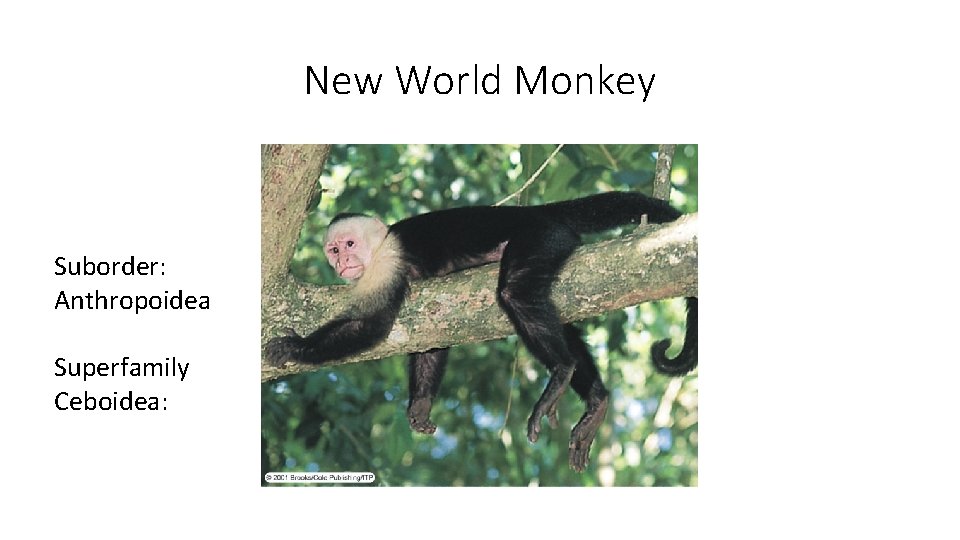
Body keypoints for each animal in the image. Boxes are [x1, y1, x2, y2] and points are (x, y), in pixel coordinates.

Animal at [264, 191, 696, 472]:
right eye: (334, 250)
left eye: (350, 244)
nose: (343, 263)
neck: (381, 246)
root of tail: (537, 212)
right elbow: (430, 341)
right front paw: (420, 404)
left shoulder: (387, 262)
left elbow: (373, 325)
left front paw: (294, 347)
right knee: (557, 320)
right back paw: (595, 400)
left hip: (542, 237)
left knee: (515, 293)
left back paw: (559, 372)